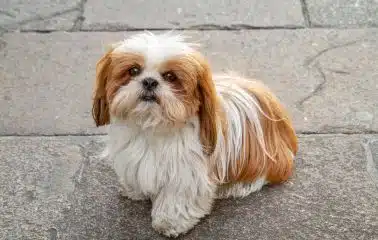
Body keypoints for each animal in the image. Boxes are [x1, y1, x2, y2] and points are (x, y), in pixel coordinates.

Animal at [91, 31, 298, 238]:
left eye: (170, 76)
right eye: (133, 71)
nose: (149, 81)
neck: (154, 126)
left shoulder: (185, 173)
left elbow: (177, 198)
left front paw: (170, 222)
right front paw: (135, 190)